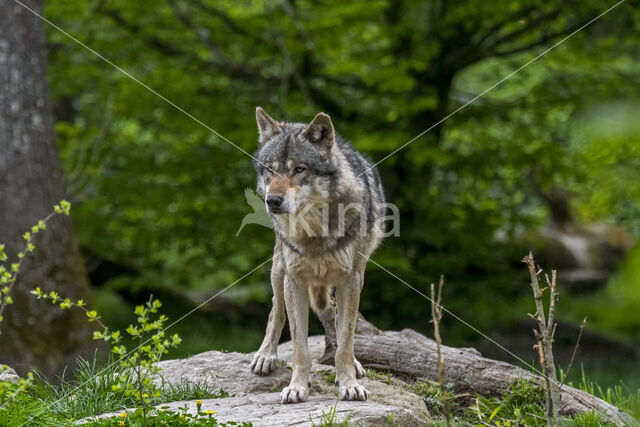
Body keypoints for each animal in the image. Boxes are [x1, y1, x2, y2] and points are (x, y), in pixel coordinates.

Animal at [248, 108, 382, 404]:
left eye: (299, 169)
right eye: (270, 169)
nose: (273, 201)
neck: (314, 234)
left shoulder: (350, 279)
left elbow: (346, 338)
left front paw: (349, 384)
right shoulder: (295, 279)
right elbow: (299, 344)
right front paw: (297, 386)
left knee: (338, 322)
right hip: (279, 269)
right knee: (276, 311)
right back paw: (266, 355)